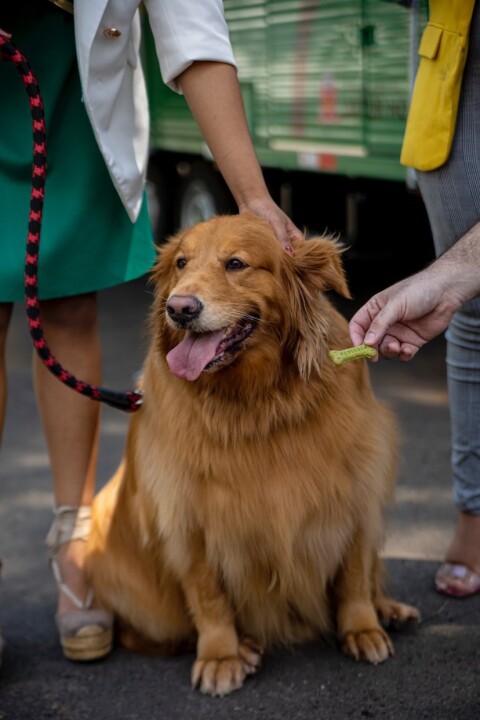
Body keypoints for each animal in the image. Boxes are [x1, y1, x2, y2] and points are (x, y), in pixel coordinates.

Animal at [87, 211, 420, 696]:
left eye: (236, 264)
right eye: (182, 263)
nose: (179, 308)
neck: (258, 402)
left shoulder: (357, 485)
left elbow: (355, 573)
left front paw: (362, 627)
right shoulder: (187, 515)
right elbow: (208, 595)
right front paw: (220, 654)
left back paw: (389, 610)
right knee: (142, 633)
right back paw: (242, 646)